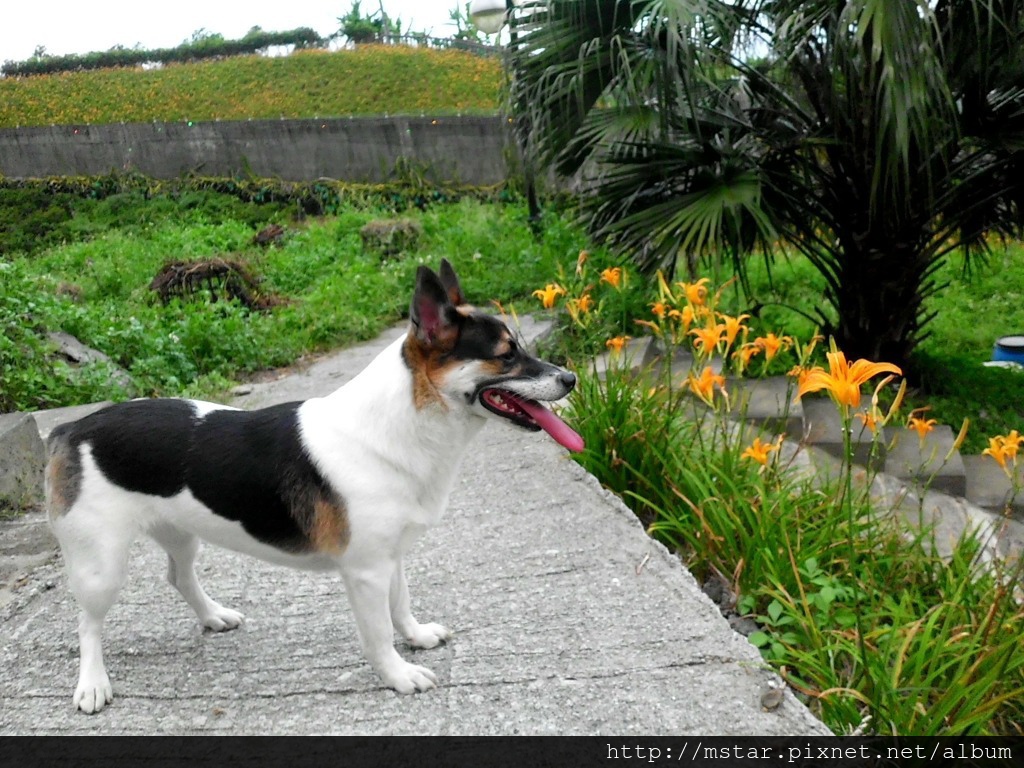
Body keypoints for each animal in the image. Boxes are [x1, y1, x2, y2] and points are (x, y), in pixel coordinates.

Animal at [46, 260, 585, 716]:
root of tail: (73, 427)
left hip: (180, 532)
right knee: (87, 623)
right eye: (506, 356)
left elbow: (401, 605)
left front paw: (414, 635)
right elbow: (378, 633)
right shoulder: (366, 572)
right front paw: (398, 674)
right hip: (101, 566)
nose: (571, 378)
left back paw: (213, 616)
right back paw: (92, 683)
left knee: (179, 577)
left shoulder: (391, 558)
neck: (399, 425)